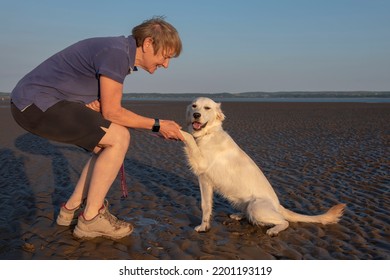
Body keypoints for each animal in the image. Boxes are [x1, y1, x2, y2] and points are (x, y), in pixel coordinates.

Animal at [180, 97, 344, 235]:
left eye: (207, 108)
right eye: (194, 106)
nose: (196, 115)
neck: (208, 134)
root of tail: (278, 205)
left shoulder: (202, 166)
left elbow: (188, 137)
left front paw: (179, 130)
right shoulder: (205, 181)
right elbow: (206, 206)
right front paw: (204, 226)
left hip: (256, 207)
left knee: (284, 222)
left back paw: (274, 230)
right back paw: (239, 215)